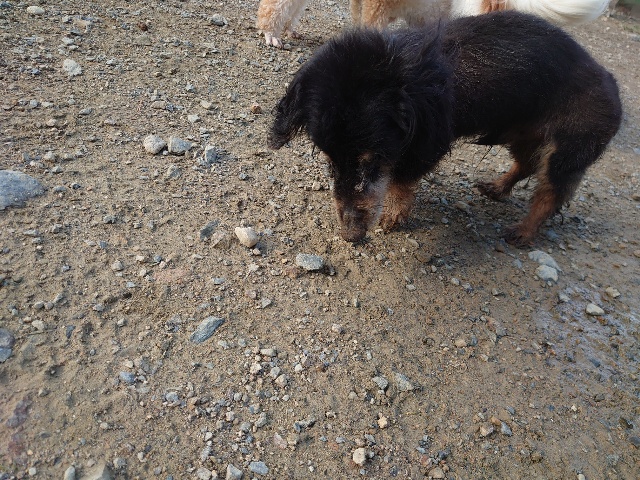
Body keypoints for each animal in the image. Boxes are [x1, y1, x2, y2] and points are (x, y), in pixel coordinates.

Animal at [268, 12, 622, 246]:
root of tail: (609, 80)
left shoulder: (425, 147)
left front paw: (393, 216)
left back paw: (522, 231)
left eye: (372, 161)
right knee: (524, 164)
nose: (351, 237)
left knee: (549, 194)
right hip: (522, 133)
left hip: (568, 149)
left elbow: (400, 183)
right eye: (330, 162)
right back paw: (496, 188)